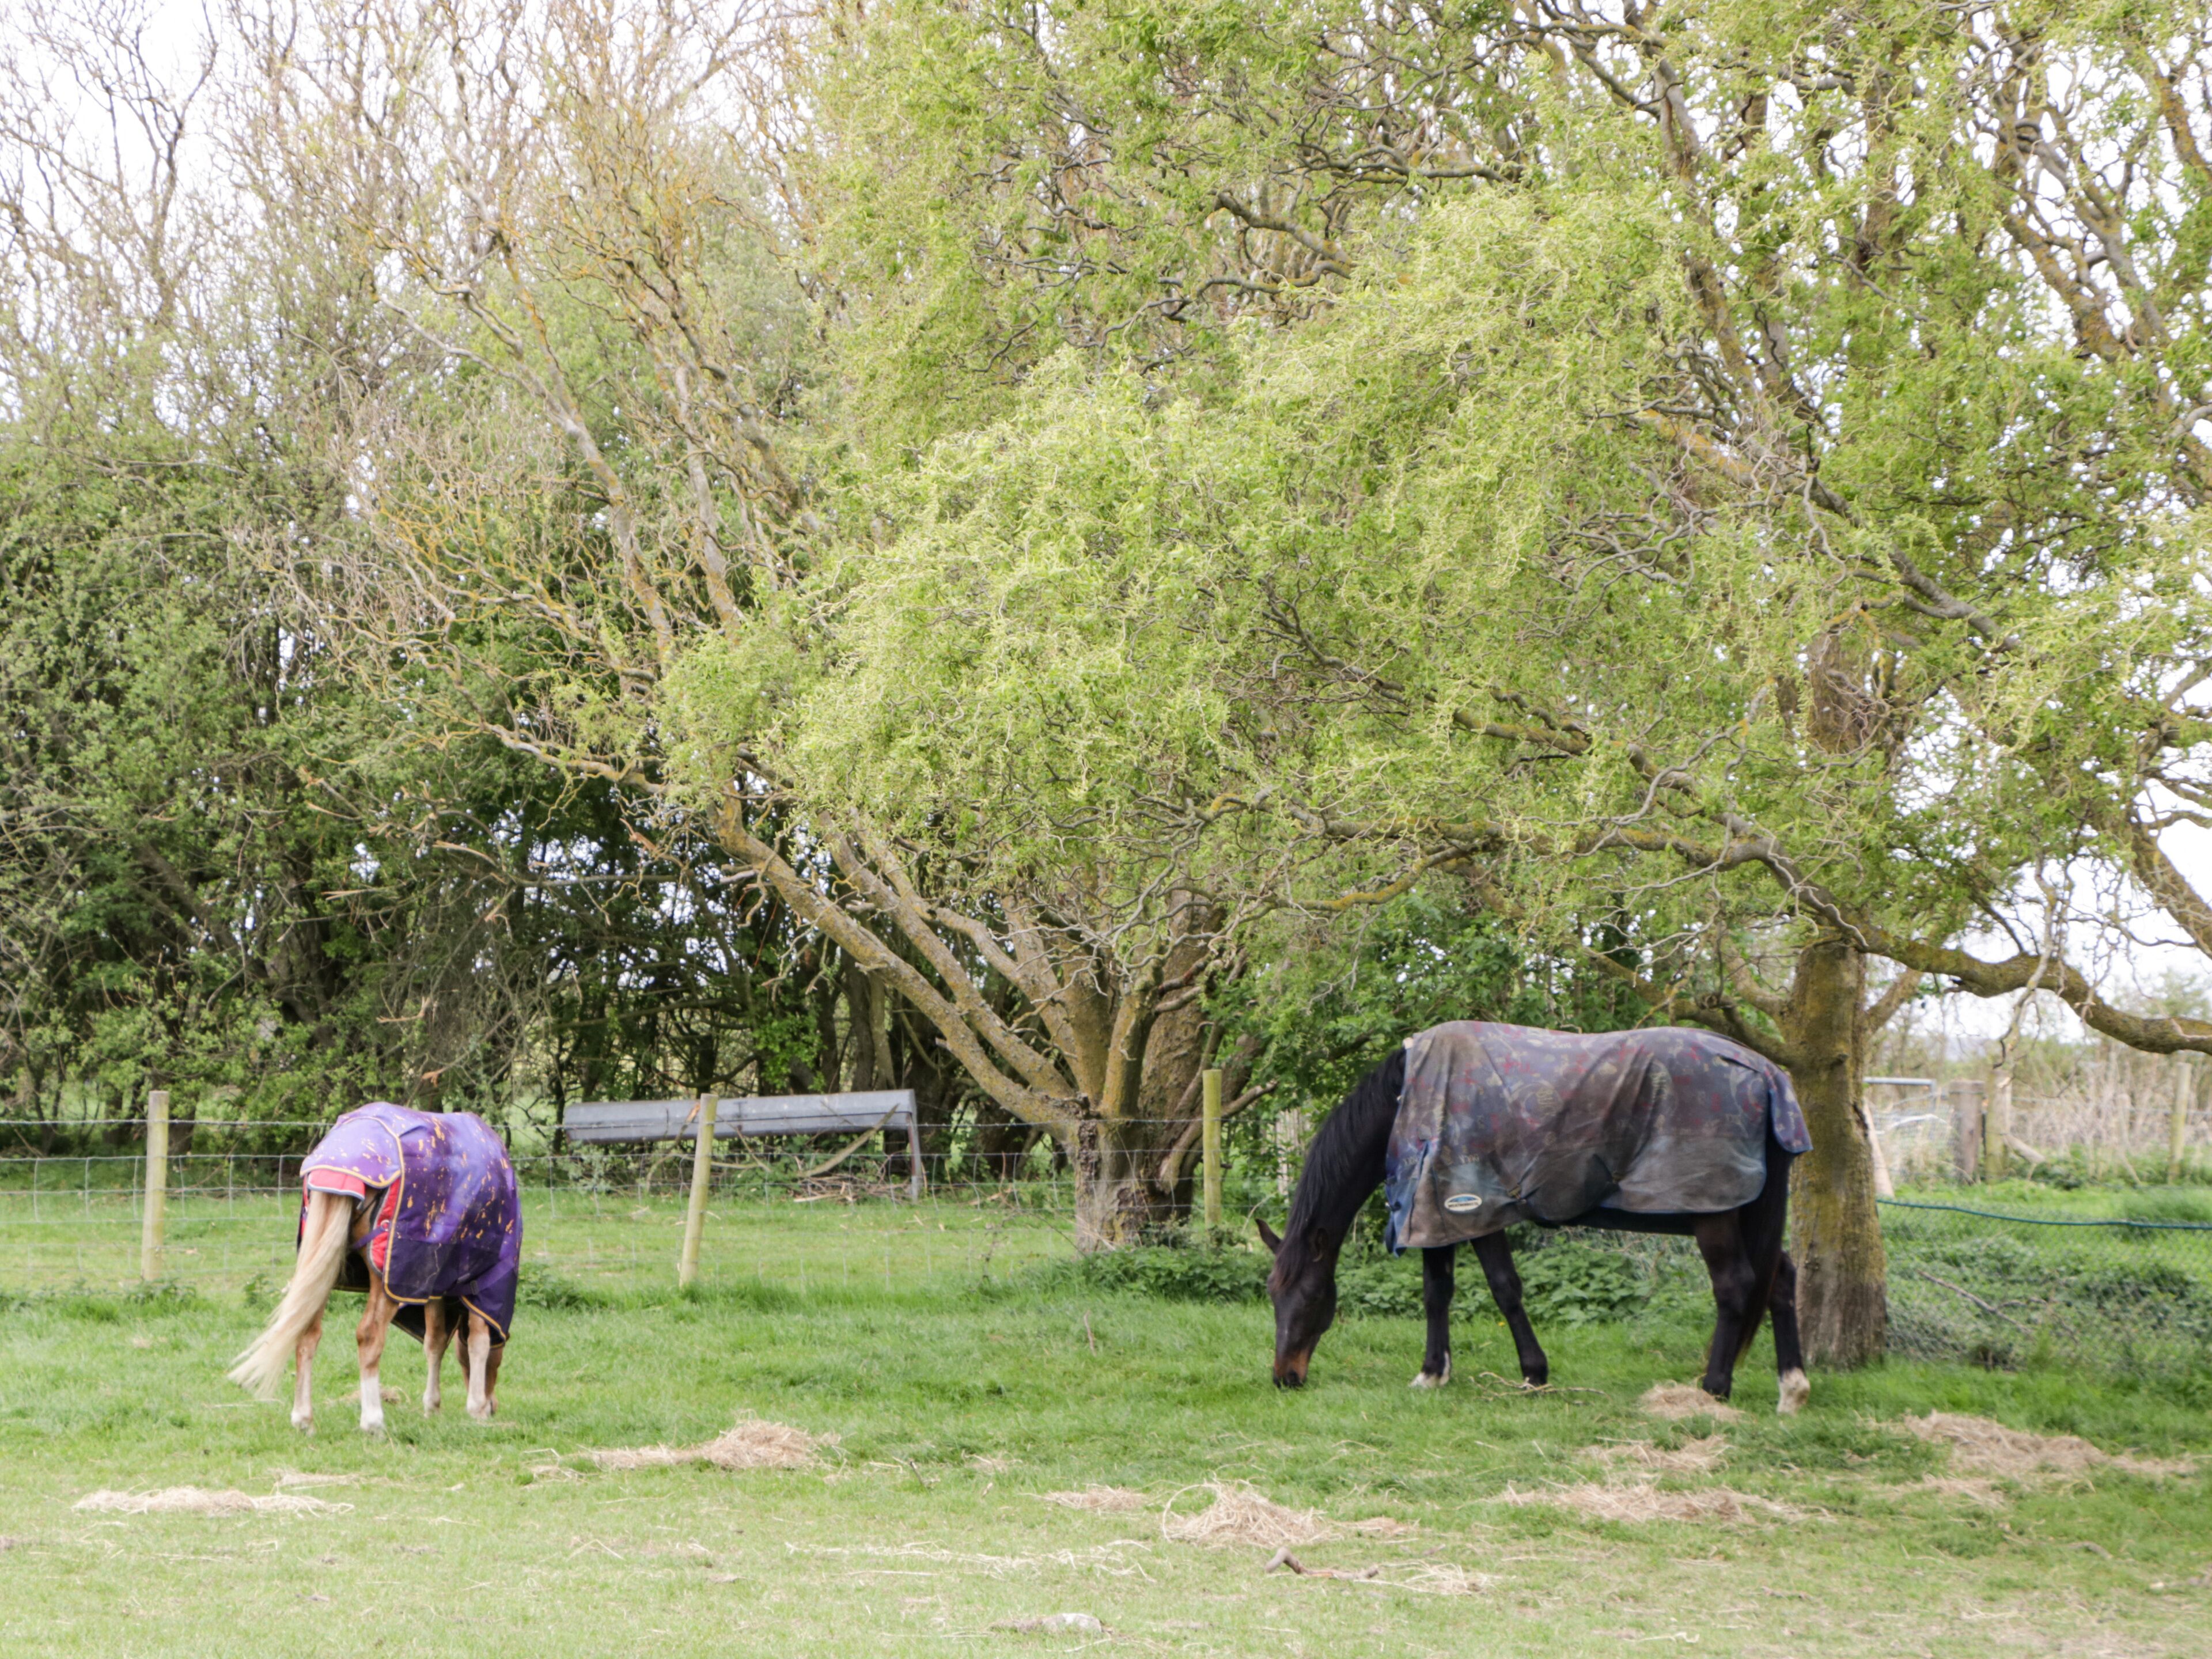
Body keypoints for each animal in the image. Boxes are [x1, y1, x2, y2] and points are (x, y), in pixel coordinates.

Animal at [229, 1103, 521, 1433]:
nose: (493, 1406)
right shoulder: (483, 1285)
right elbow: (477, 1341)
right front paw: (476, 1408)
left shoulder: (433, 1284)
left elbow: (434, 1343)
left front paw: (433, 1407)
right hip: (385, 1280)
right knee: (369, 1336)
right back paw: (372, 1420)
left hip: (325, 1268)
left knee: (306, 1333)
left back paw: (304, 1419)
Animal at [1260, 1028, 1811, 1413]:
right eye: (1272, 1297)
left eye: (1310, 1296)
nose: (1285, 1378)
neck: (1413, 1100)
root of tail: (1765, 1074)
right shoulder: (1436, 1215)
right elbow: (1437, 1292)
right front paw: (1433, 1373)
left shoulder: (1473, 1210)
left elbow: (1505, 1289)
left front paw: (1533, 1373)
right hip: (1746, 1216)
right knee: (1781, 1279)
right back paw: (1792, 1389)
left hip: (1713, 1215)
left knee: (1735, 1285)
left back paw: (1714, 1389)